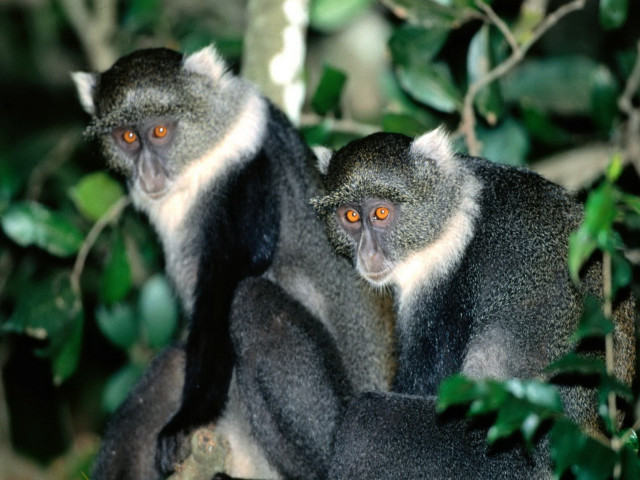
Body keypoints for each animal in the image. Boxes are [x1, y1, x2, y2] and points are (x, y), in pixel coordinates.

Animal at [73, 45, 395, 479]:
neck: (202, 160)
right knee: (171, 365)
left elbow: (227, 283)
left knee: (251, 302)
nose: (147, 173)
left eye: (160, 132)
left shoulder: (249, 172)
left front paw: (187, 420)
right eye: (127, 137)